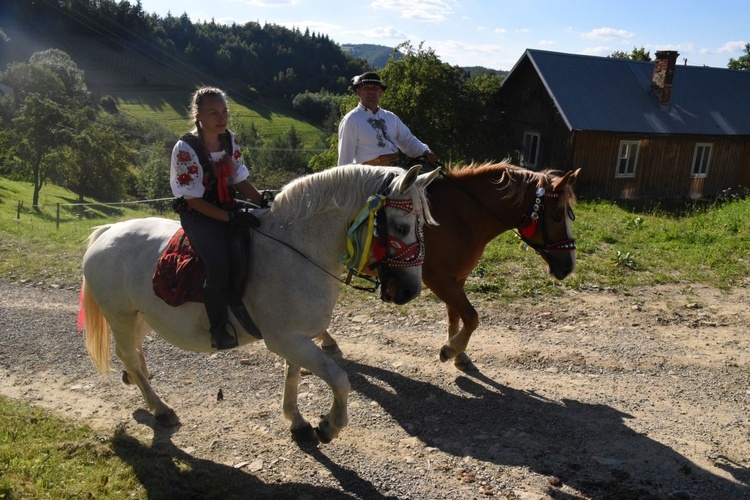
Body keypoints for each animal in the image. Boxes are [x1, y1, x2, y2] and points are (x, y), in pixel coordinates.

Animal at [81, 164, 440, 442]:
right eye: (401, 227)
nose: (410, 290)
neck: (297, 249)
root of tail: (108, 230)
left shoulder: (296, 338)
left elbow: (293, 376)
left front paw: (297, 421)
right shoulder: (285, 339)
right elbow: (339, 379)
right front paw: (329, 426)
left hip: (141, 316)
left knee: (130, 352)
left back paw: (137, 379)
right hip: (120, 314)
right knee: (127, 353)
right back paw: (160, 409)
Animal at [318, 161, 580, 372]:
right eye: (557, 216)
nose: (568, 267)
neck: (459, 218)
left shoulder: (457, 279)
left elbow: (456, 316)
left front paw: (459, 353)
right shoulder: (439, 280)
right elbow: (471, 317)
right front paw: (451, 349)